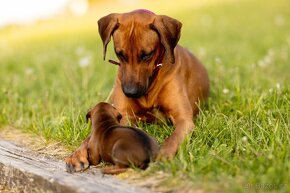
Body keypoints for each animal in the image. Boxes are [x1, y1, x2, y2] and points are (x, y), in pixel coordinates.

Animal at [98, 9, 210, 159]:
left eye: (147, 55)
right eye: (119, 54)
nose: (130, 92)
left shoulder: (184, 120)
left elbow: (172, 139)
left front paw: (163, 156)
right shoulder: (124, 115)